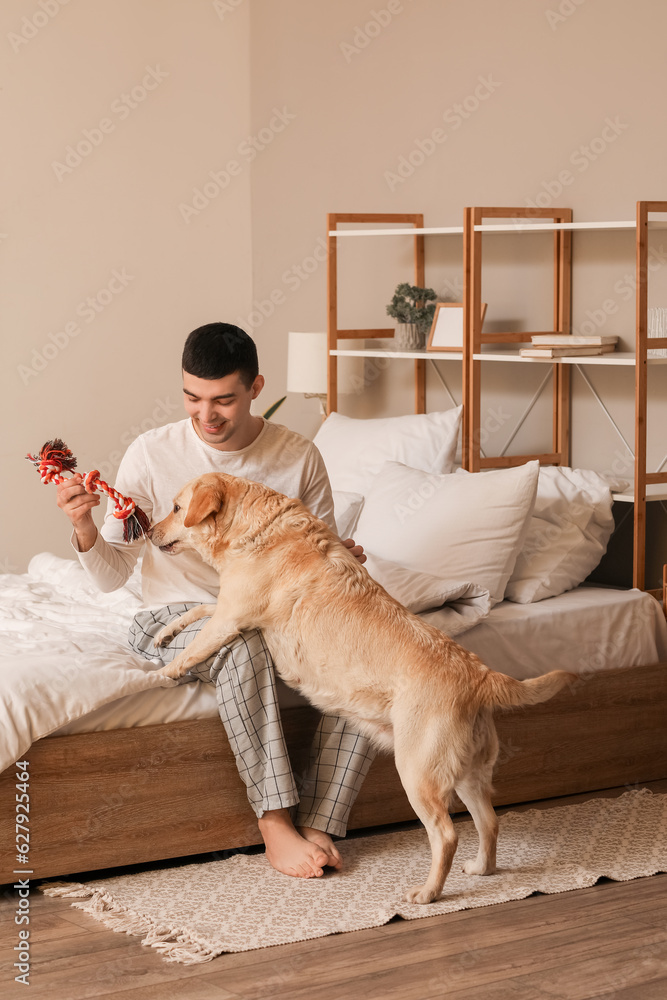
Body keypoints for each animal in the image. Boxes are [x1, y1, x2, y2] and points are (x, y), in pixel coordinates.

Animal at [150, 472, 576, 904]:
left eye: (176, 508)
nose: (148, 531)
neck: (259, 528)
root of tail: (479, 674)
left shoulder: (232, 619)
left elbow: (196, 645)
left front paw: (163, 672)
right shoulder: (227, 608)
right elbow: (198, 609)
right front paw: (166, 633)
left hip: (418, 772)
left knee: (447, 835)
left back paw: (428, 893)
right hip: (468, 772)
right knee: (489, 821)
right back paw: (481, 869)